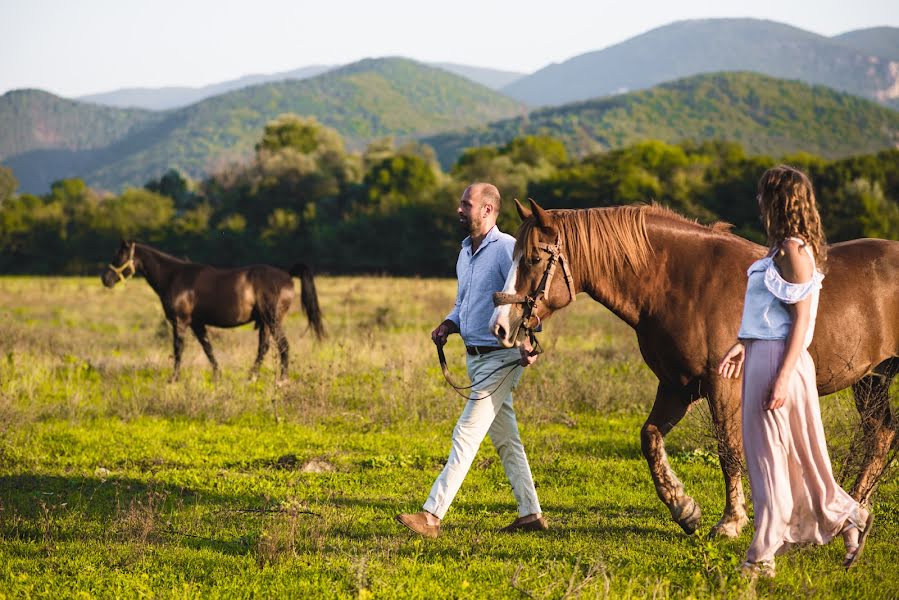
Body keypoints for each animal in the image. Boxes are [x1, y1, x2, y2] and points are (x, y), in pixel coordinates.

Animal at [101, 239, 324, 380]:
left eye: (119, 256)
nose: (105, 279)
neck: (174, 276)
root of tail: (287, 275)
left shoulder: (180, 322)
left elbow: (178, 350)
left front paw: (173, 379)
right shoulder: (197, 324)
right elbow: (208, 349)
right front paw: (218, 376)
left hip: (273, 320)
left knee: (283, 346)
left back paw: (282, 379)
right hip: (265, 323)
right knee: (264, 348)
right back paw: (251, 377)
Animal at [492, 200, 899, 540]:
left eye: (532, 259)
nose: (500, 327)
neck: (684, 285)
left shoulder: (723, 385)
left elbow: (729, 450)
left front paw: (731, 521)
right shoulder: (677, 387)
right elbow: (650, 438)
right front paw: (683, 508)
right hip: (871, 380)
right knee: (881, 434)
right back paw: (854, 511)